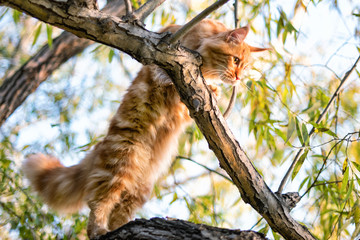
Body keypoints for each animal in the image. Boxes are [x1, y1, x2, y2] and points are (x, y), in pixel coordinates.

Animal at [23, 19, 268, 238]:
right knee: (99, 203)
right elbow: (169, 75)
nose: (238, 78)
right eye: (235, 60)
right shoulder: (165, 58)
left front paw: (213, 89)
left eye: (245, 67)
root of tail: (99, 146)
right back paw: (98, 229)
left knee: (119, 212)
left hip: (140, 188)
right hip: (120, 166)